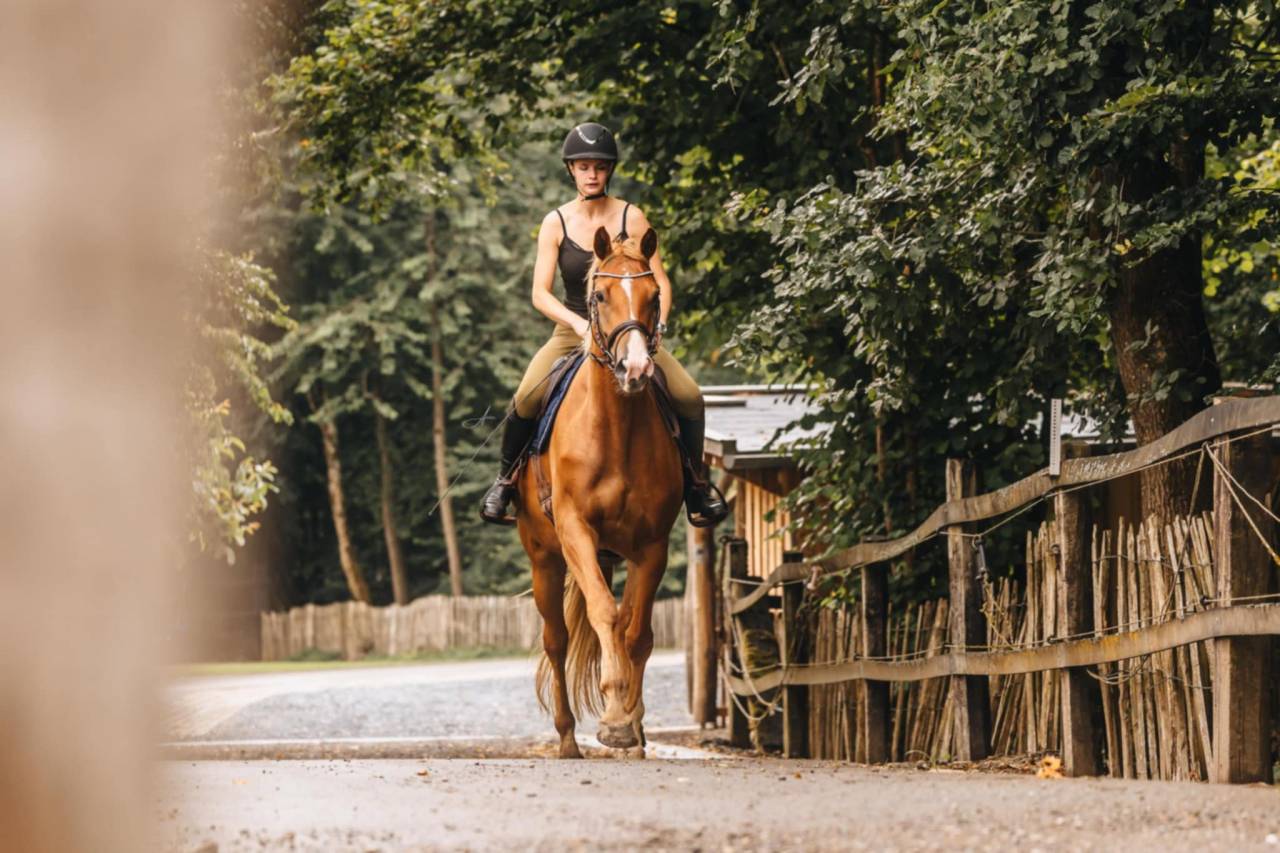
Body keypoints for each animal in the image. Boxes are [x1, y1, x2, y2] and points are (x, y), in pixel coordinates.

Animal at [515, 224, 684, 758]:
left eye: (653, 298)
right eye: (600, 296)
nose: (635, 370)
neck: (615, 431)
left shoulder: (652, 547)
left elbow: (636, 633)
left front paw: (631, 726)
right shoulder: (576, 533)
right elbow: (605, 616)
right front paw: (611, 720)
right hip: (545, 560)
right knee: (557, 639)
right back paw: (568, 738)